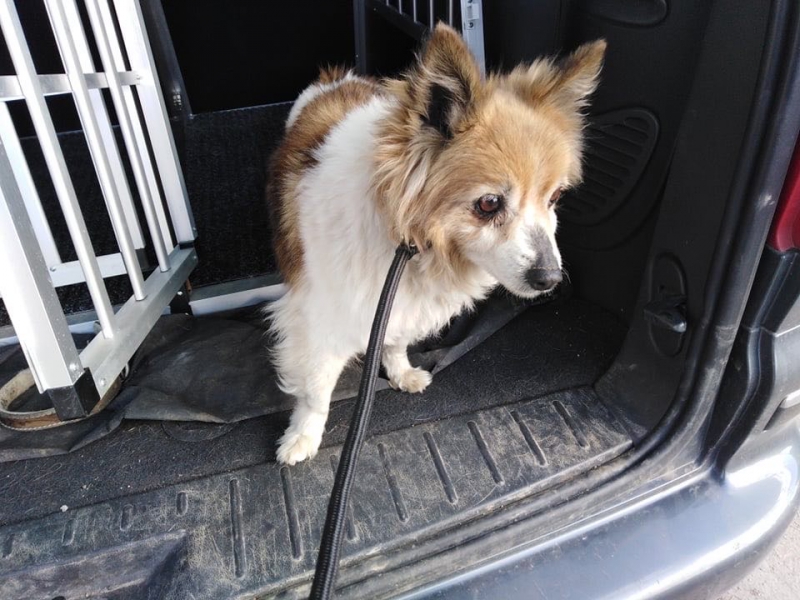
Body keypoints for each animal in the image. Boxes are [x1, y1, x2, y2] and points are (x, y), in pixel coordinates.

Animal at [267, 24, 605, 465]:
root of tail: (336, 79)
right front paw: (303, 436)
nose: (550, 279)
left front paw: (399, 371)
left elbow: (395, 339)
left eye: (555, 197)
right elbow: (316, 390)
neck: (414, 246)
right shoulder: (321, 318)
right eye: (489, 204)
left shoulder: (400, 300)